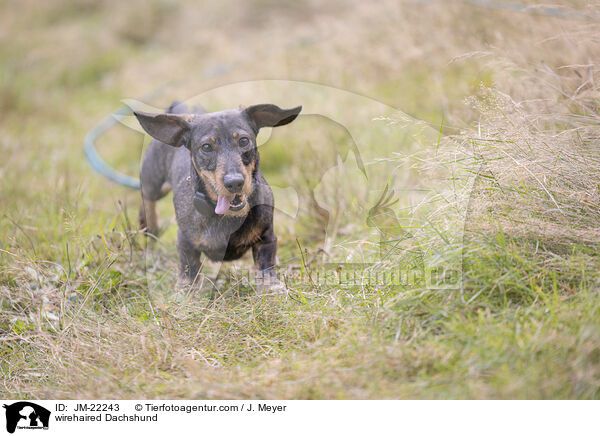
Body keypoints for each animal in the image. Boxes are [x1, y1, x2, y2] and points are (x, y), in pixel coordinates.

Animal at [135, 100, 300, 288]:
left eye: (244, 140)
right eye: (206, 147)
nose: (234, 182)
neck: (227, 216)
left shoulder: (266, 236)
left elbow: (265, 263)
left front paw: (271, 284)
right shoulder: (185, 241)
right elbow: (188, 267)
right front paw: (186, 288)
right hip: (153, 185)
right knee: (148, 202)